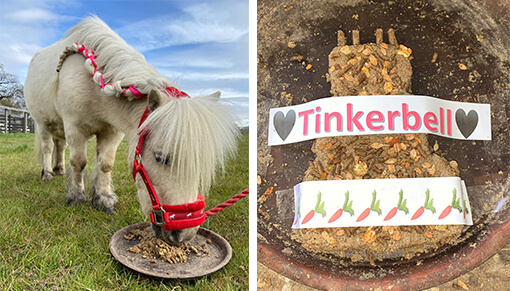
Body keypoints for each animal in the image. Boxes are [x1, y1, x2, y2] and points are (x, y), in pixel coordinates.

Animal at [23, 16, 239, 244]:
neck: (92, 82)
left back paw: (60, 170)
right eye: (161, 158)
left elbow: (105, 164)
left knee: (60, 146)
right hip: (42, 123)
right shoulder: (75, 127)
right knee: (48, 148)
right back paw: (48, 173)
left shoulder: (111, 131)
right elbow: (79, 162)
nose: (184, 234)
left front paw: (103, 199)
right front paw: (76, 197)